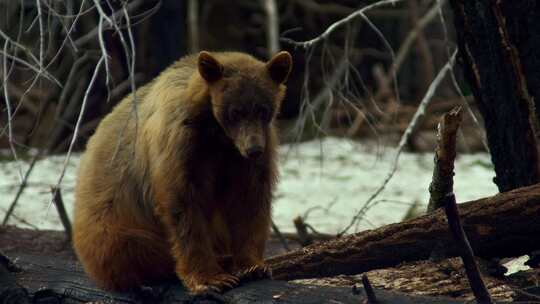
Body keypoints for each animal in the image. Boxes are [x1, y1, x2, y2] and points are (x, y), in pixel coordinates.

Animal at [73, 51, 292, 294]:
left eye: (263, 109)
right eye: (235, 112)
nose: (254, 149)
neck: (217, 132)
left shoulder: (242, 156)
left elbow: (248, 199)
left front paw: (253, 266)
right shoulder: (181, 145)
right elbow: (184, 205)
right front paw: (211, 278)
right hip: (113, 224)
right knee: (133, 248)